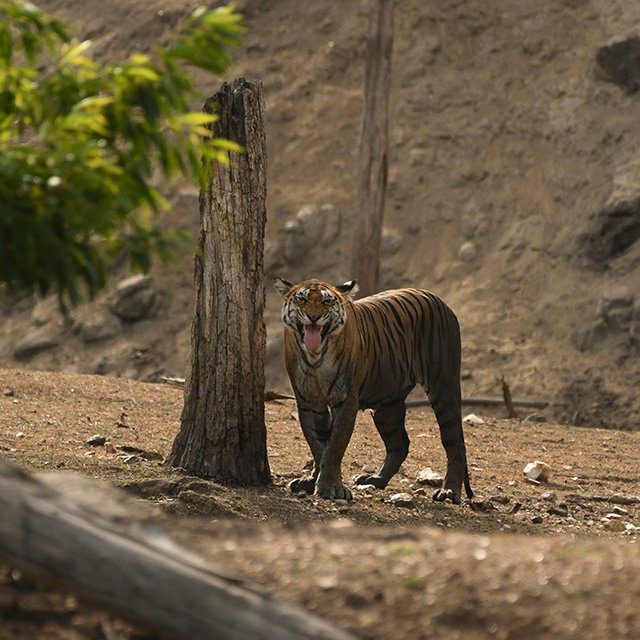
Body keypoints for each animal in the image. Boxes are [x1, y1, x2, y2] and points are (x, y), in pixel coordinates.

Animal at [274, 277, 473, 504]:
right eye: (302, 299)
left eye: (326, 301)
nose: (313, 317)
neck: (316, 358)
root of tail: (439, 300)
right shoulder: (309, 403)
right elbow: (318, 445)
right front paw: (311, 481)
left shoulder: (346, 401)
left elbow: (334, 446)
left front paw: (331, 488)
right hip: (387, 405)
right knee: (399, 444)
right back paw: (376, 479)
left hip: (443, 386)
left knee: (454, 442)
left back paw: (449, 491)